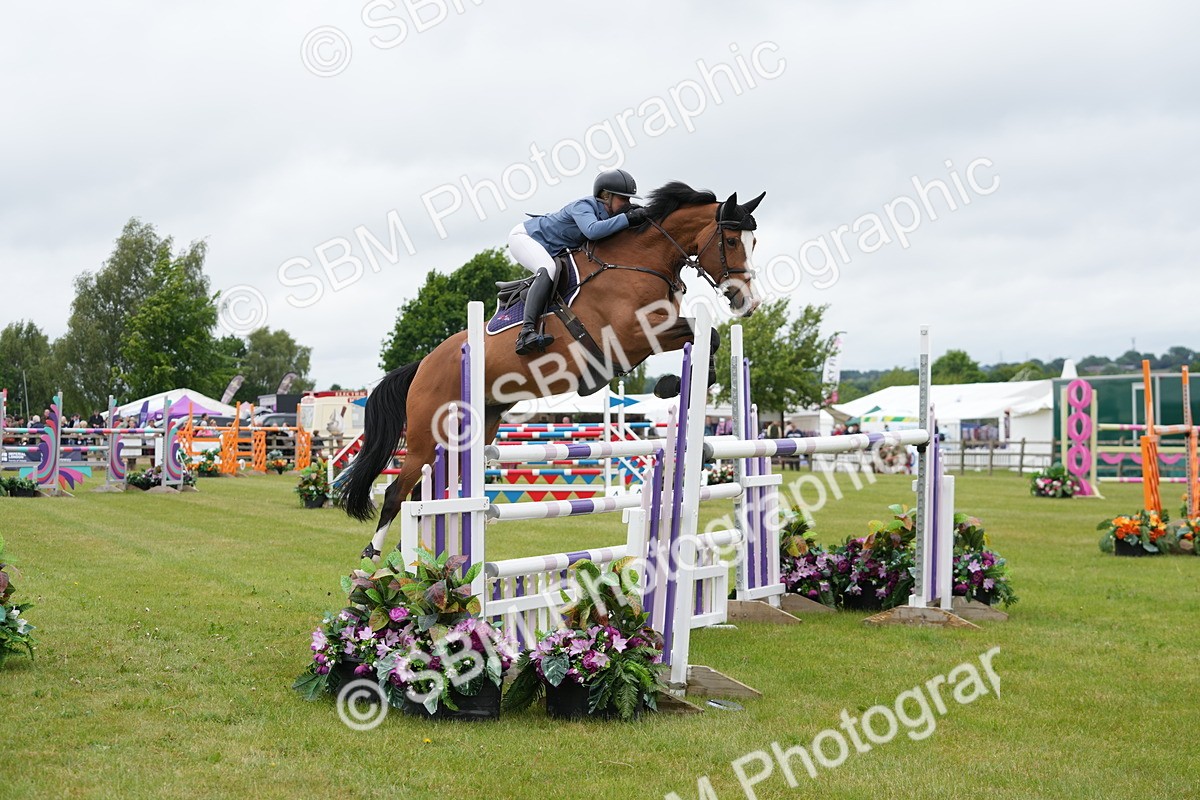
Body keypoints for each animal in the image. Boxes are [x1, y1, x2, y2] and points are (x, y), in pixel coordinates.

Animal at [340, 181, 766, 559]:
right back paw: (374, 557)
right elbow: (704, 332)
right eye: (731, 241)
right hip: (426, 440)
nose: (749, 302)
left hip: (471, 434)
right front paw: (666, 385)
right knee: (397, 494)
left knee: (424, 495)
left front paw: (675, 384)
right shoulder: (632, 334)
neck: (638, 261)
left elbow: (708, 335)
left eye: (754, 243)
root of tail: (423, 365)